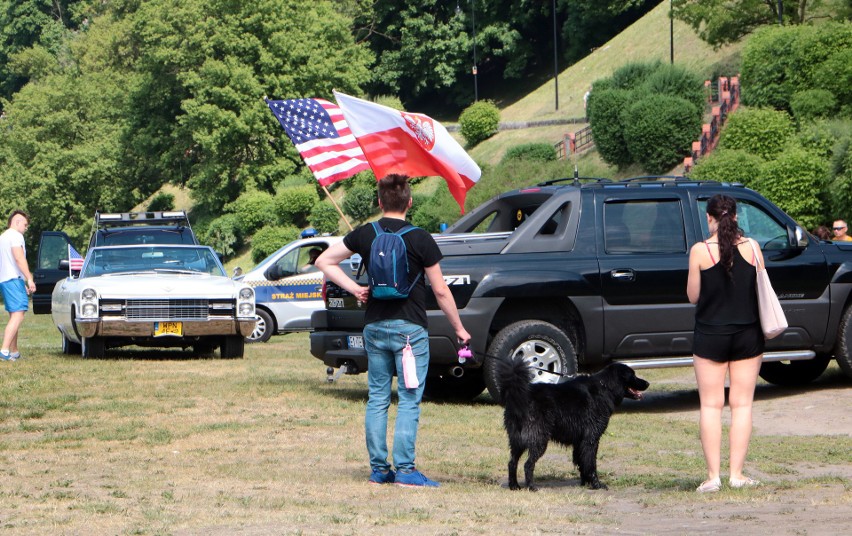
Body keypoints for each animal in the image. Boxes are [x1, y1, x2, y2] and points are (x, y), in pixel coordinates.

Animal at [496, 360, 648, 490]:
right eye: (633, 375)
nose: (647, 383)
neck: (604, 387)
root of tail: (520, 396)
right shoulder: (591, 439)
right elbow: (591, 464)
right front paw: (596, 484)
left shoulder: (579, 442)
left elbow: (582, 463)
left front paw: (585, 483)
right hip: (538, 440)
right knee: (528, 464)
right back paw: (531, 487)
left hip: (517, 440)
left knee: (512, 462)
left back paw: (514, 486)